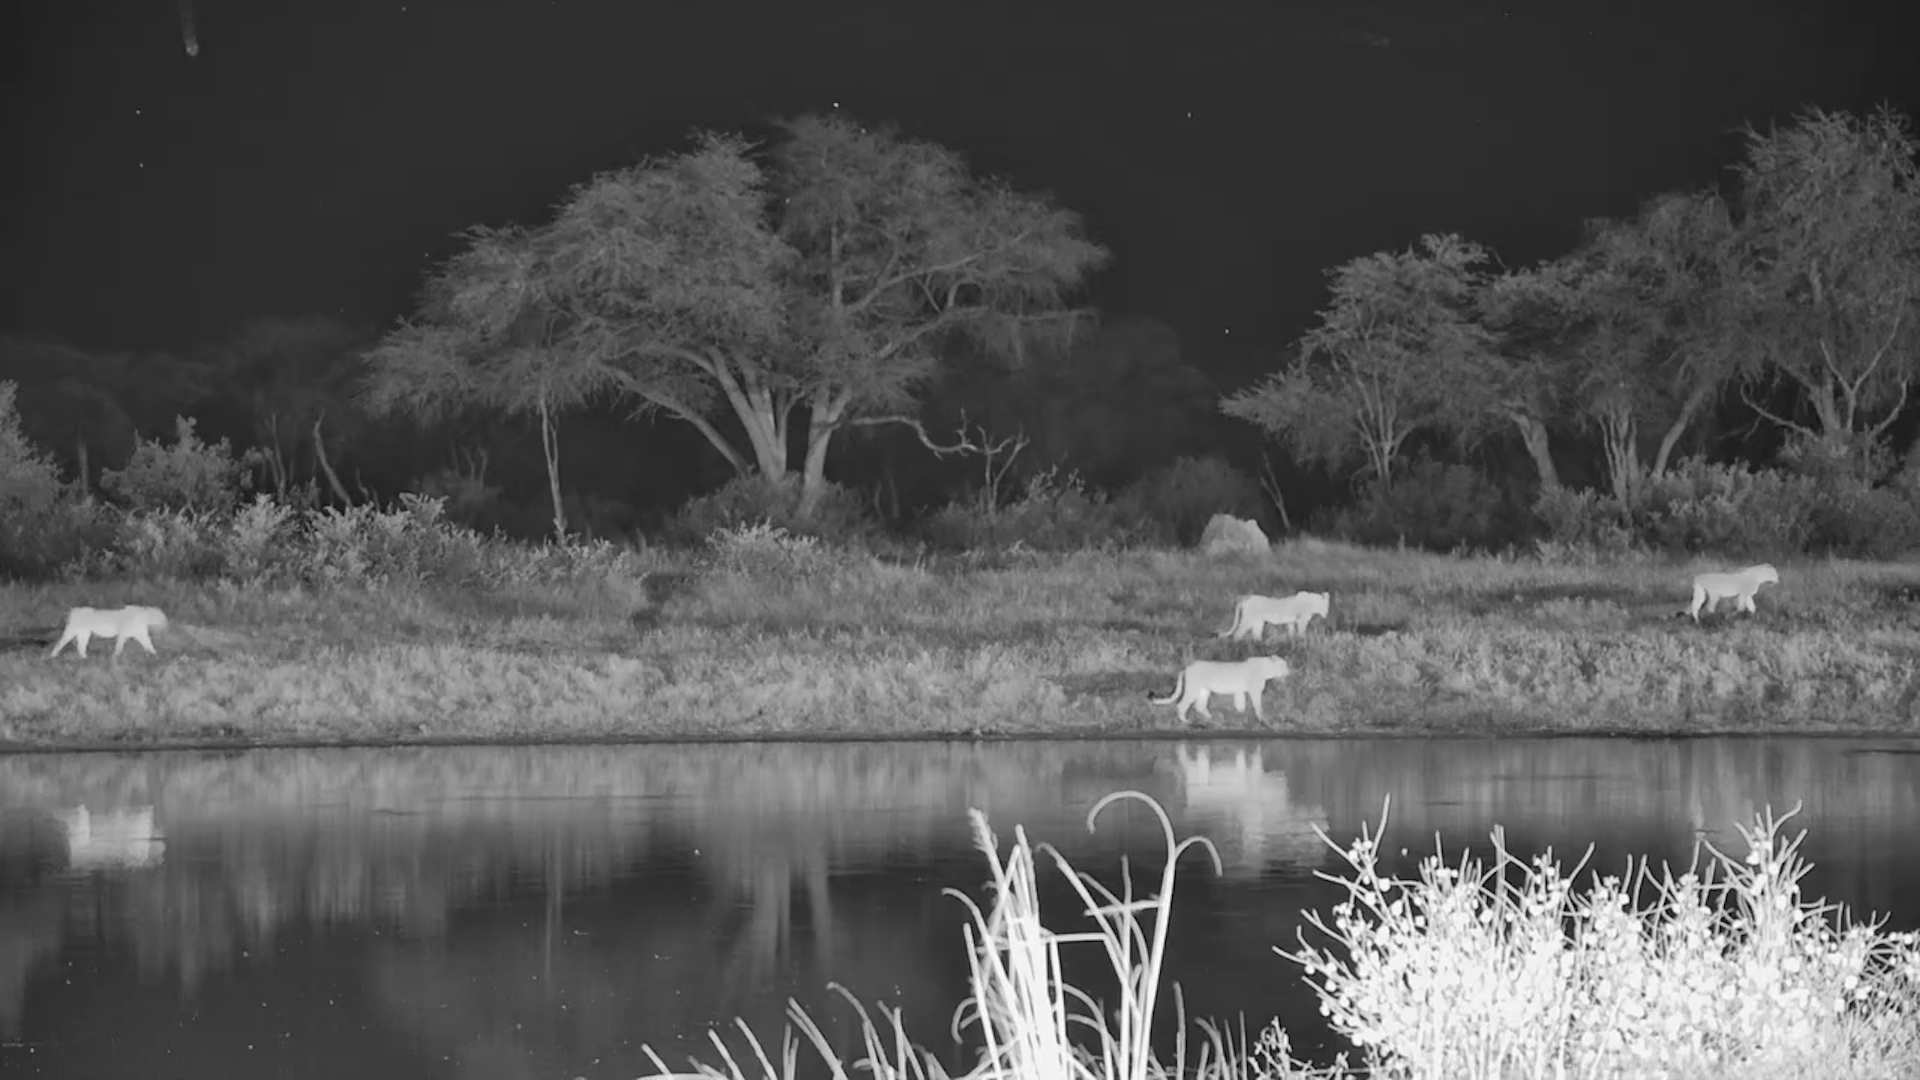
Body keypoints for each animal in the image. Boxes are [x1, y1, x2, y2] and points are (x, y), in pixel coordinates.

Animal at [1148, 655, 1293, 724]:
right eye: (1284, 665)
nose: (1289, 672)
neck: (1266, 669)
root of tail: (1187, 667)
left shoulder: (1239, 691)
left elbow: (1240, 704)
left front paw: (1240, 716)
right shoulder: (1254, 691)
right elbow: (1258, 705)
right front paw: (1262, 719)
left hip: (1204, 690)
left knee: (1200, 706)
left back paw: (1212, 718)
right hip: (1193, 688)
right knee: (1182, 704)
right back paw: (1186, 722)